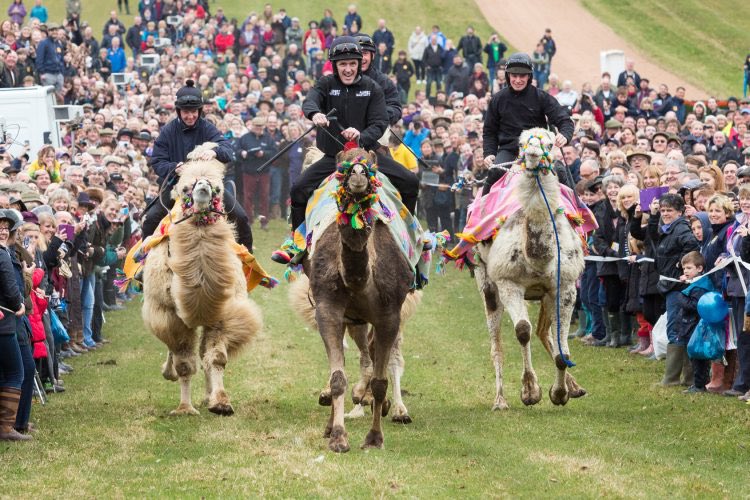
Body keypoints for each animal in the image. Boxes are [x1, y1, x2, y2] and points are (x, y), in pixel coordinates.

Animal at [142, 146, 264, 418]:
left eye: (217, 189)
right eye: (185, 188)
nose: (203, 189)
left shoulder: (221, 313)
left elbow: (216, 357)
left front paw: (220, 402)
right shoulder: (169, 315)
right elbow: (185, 364)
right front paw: (184, 408)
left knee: (203, 353)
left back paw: (208, 394)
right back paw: (168, 373)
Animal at [302, 148, 414, 454]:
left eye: (370, 170)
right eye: (343, 170)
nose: (358, 175)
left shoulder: (389, 315)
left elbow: (380, 381)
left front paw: (374, 438)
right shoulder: (328, 310)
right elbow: (338, 378)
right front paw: (338, 436)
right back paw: (332, 424)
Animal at [476, 129, 588, 410]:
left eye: (549, 142)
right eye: (521, 143)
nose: (534, 155)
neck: (538, 258)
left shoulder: (564, 287)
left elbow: (562, 350)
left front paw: (559, 393)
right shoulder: (508, 283)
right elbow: (522, 331)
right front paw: (530, 392)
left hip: (545, 294)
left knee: (544, 332)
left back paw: (574, 387)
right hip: (486, 283)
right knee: (497, 344)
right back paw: (500, 400)